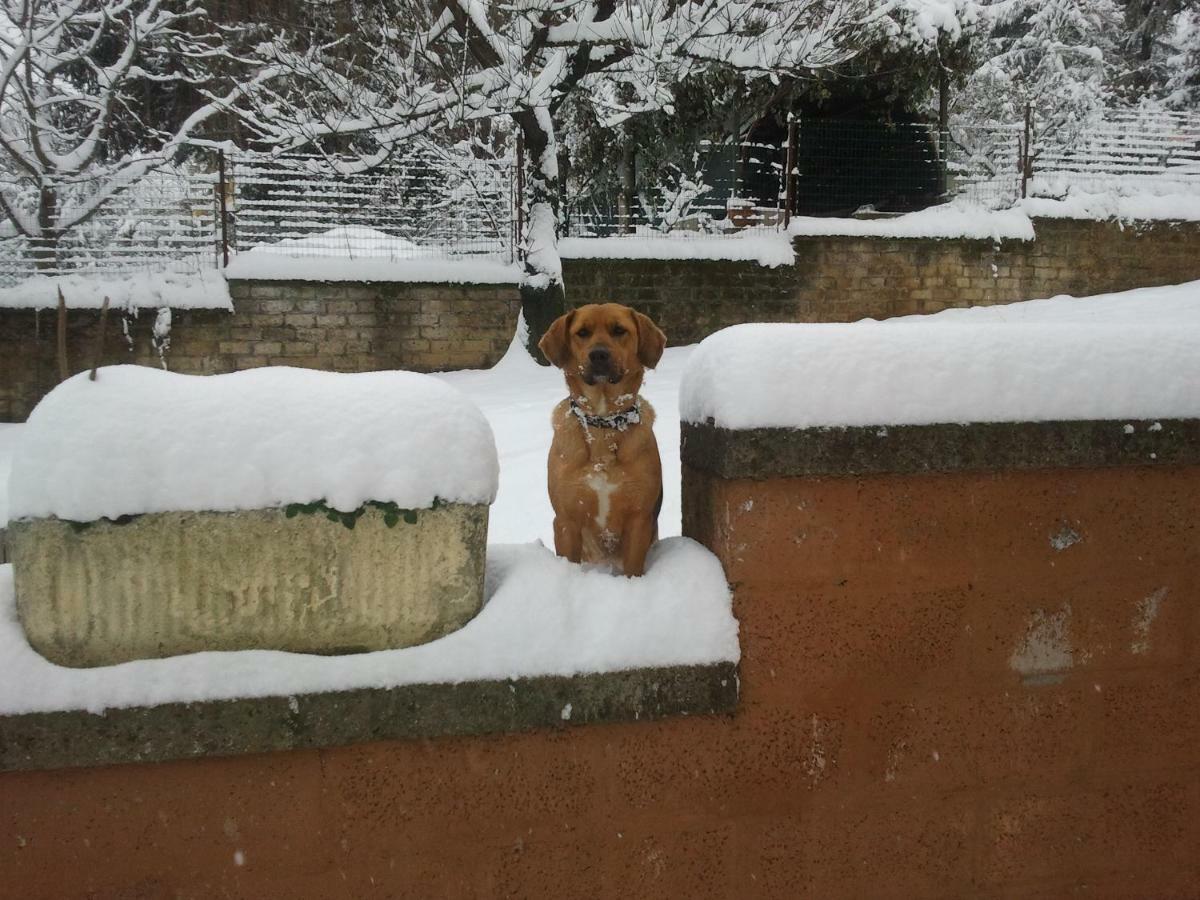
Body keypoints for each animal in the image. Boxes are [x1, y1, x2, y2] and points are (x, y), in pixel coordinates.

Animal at [542, 303, 672, 578]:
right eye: (582, 332)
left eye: (619, 330)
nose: (599, 355)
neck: (603, 423)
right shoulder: (566, 519)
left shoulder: (638, 518)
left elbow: (633, 568)